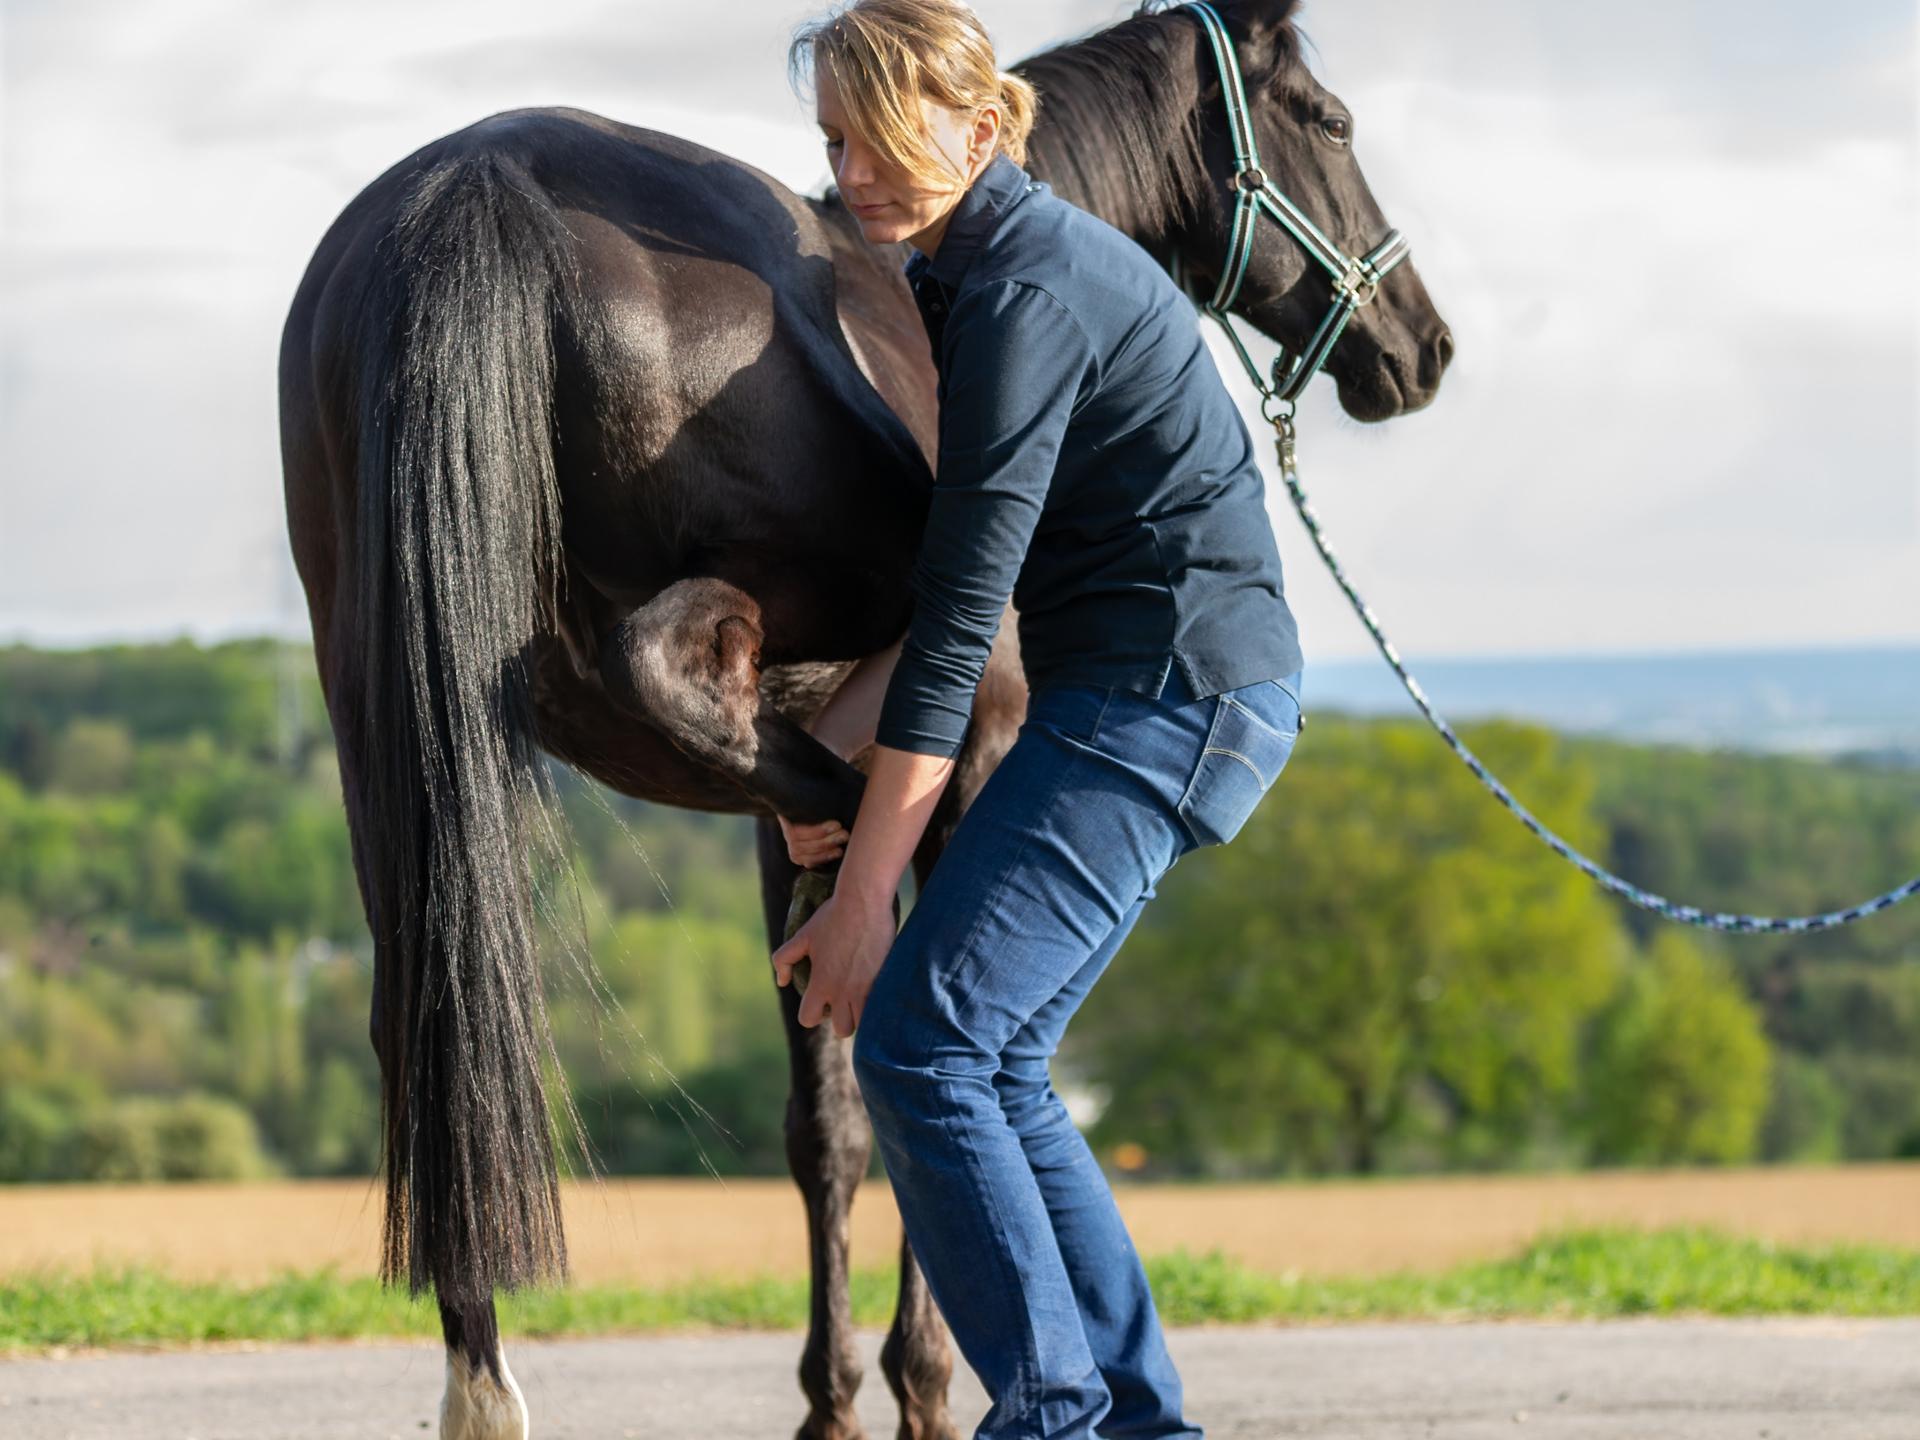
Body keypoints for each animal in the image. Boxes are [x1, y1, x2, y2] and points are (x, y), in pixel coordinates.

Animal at [275, 1, 1450, 1434]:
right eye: (1330, 123)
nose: (1422, 345)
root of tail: (475, 180)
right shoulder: (971, 748)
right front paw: (922, 1385)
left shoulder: (752, 826)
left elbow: (828, 1127)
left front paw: (834, 1395)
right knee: (676, 674)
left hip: (382, 729)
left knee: (436, 1011)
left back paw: (482, 1383)